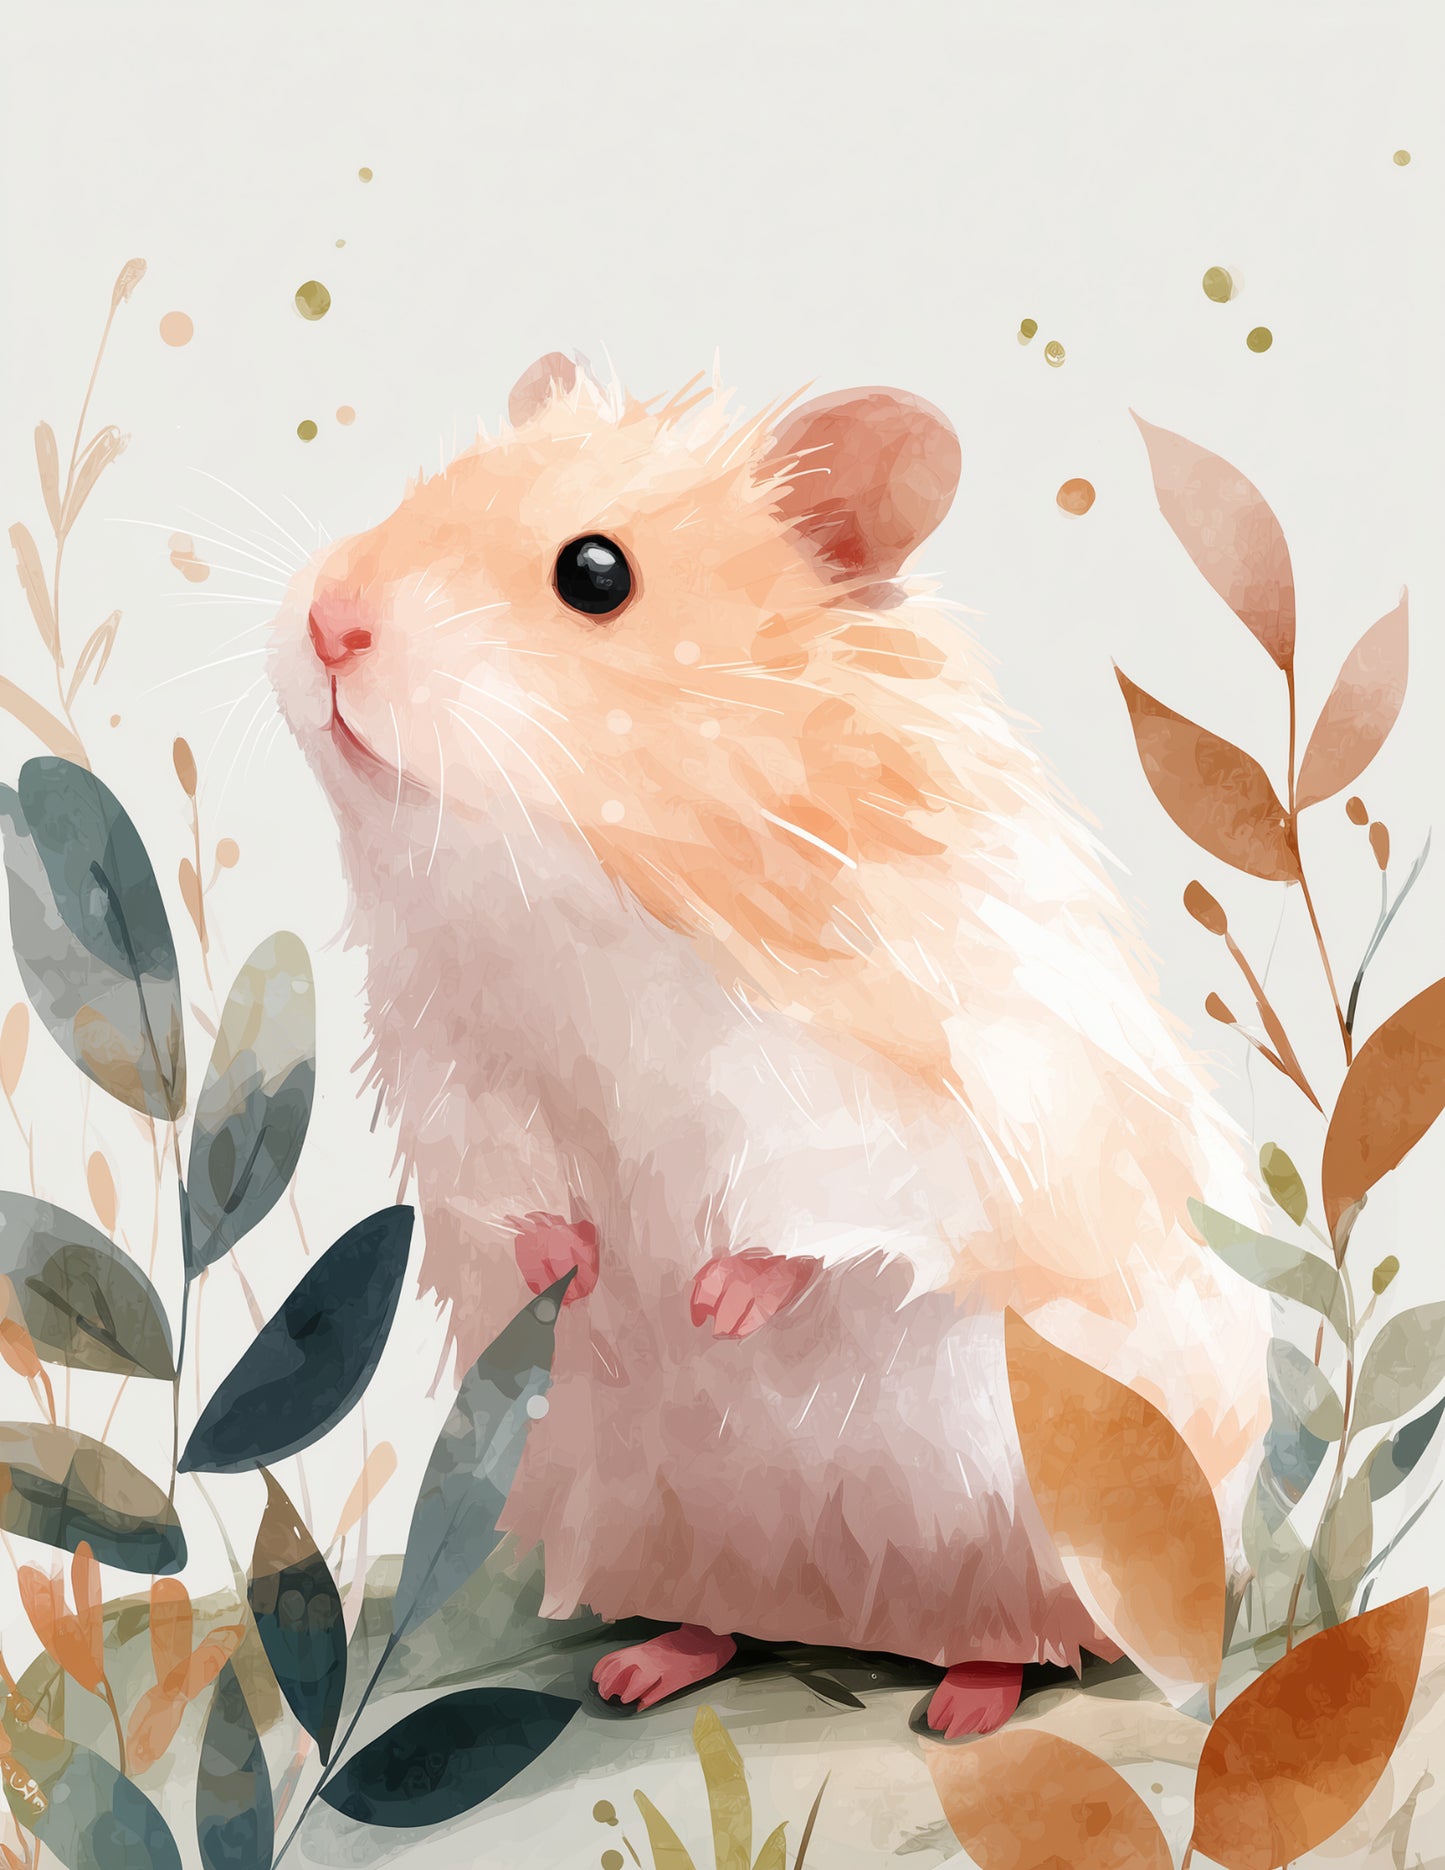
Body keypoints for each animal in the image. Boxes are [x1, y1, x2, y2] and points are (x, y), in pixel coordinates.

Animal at [272, 353, 1271, 1738]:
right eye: (425, 486)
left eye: (596, 574)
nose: (326, 623)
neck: (570, 880)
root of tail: (851, 1620)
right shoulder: (458, 1061)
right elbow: (507, 1181)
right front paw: (582, 1272)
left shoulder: (891, 1080)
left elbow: (828, 1201)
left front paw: (711, 1304)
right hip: (653, 1522)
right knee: (716, 1618)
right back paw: (637, 1669)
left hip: (1040, 1522)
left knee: (1020, 1638)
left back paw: (958, 1704)